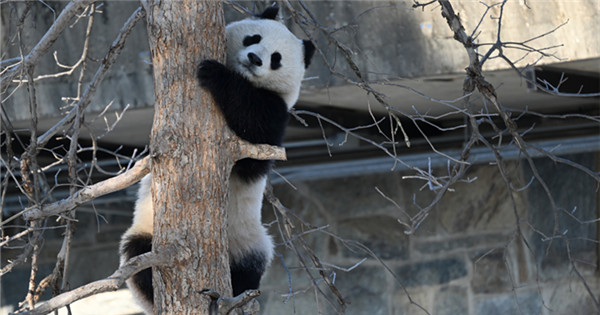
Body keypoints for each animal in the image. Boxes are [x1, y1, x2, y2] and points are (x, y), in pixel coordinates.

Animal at [119, 6, 316, 314]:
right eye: (253, 37)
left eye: (276, 59)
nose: (255, 58)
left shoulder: (276, 112)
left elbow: (256, 135)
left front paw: (214, 74)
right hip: (147, 228)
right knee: (138, 255)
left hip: (249, 240)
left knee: (250, 267)